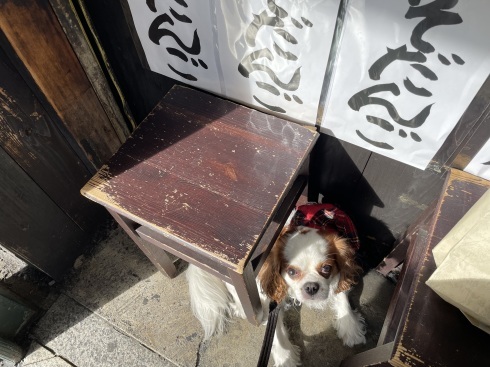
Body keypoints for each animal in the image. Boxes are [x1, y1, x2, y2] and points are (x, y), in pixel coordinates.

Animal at [186, 204, 366, 367]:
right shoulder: (267, 297)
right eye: (291, 272)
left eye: (327, 268)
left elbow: (341, 296)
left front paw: (350, 326)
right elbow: (275, 333)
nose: (311, 287)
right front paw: (286, 358)